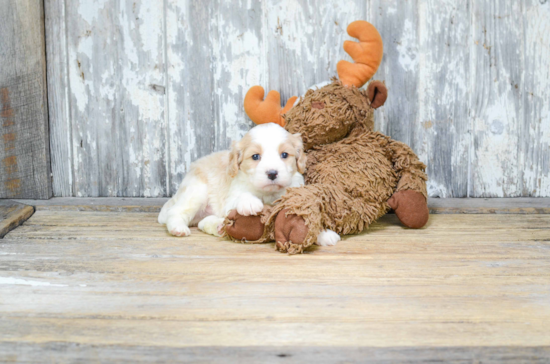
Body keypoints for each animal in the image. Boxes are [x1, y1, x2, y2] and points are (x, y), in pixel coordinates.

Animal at [158, 124, 306, 239]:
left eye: (284, 155)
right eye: (255, 156)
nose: (272, 173)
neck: (267, 193)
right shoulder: (230, 198)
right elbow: (240, 197)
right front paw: (249, 202)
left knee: (202, 222)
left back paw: (218, 226)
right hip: (196, 193)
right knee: (176, 211)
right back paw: (178, 228)